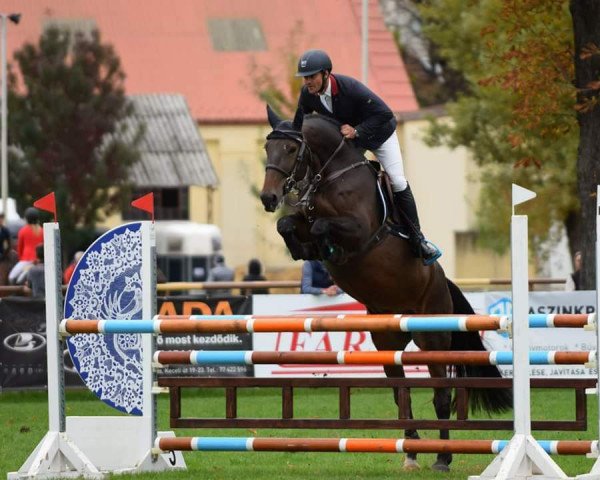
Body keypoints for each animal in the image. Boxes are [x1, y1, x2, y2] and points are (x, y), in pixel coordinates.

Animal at [258, 106, 510, 472]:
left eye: (291, 149)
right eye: (267, 148)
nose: (269, 197)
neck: (330, 176)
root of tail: (442, 282)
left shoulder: (360, 230)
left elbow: (322, 227)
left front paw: (328, 249)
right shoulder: (302, 218)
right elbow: (287, 224)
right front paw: (303, 249)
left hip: (433, 337)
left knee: (441, 394)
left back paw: (443, 457)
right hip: (386, 340)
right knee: (401, 393)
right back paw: (411, 451)